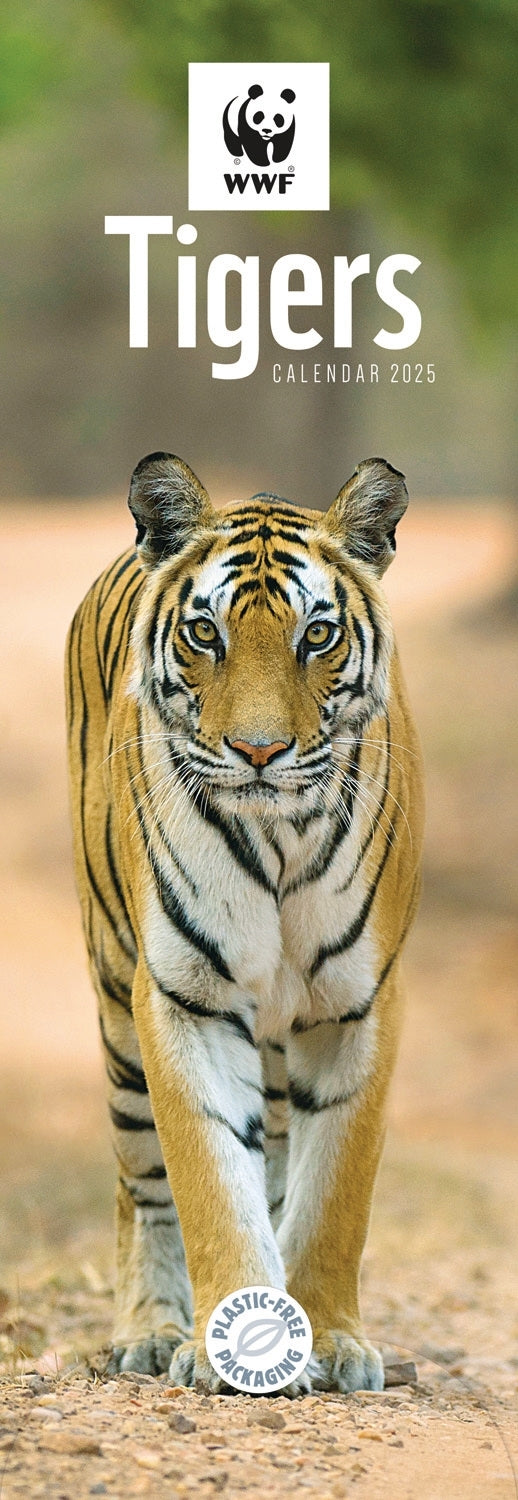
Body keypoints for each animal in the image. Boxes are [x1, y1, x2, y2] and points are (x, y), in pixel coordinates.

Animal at [65, 450, 424, 1394]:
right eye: (205, 635)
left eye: (317, 637)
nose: (259, 753)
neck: (279, 834)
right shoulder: (183, 999)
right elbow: (208, 1178)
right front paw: (228, 1345)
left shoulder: (360, 1004)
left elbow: (335, 1193)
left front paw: (329, 1338)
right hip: (116, 1006)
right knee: (139, 1184)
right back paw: (150, 1331)